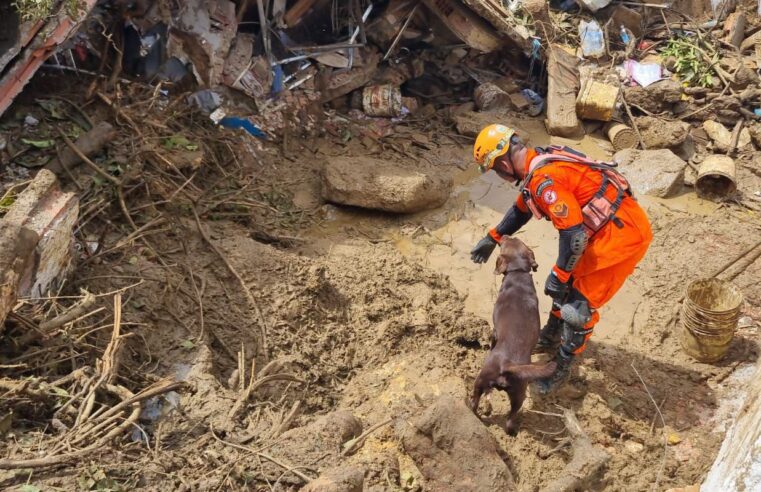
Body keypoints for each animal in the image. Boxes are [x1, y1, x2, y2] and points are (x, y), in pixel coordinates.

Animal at [466, 238, 556, 434]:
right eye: (517, 240)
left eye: (508, 242)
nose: (505, 235)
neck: (518, 274)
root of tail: (508, 366)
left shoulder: (494, 332)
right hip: (518, 395)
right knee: (509, 418)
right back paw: (511, 432)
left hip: (481, 381)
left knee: (475, 402)